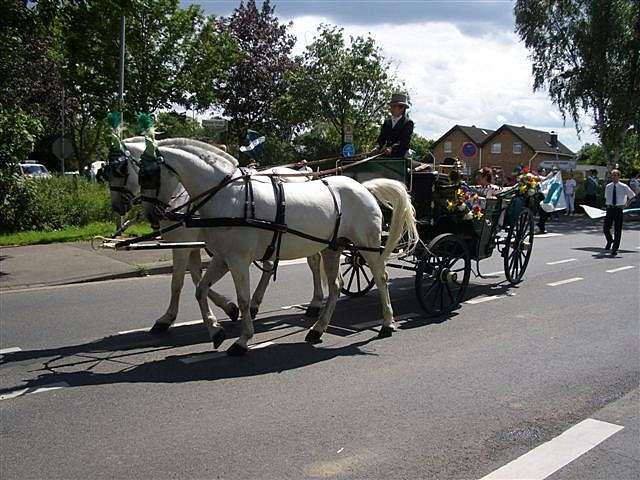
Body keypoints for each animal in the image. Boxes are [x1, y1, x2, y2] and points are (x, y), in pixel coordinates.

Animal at [142, 144, 418, 354]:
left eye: (148, 174)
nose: (154, 216)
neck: (229, 195)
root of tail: (364, 187)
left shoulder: (236, 259)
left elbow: (241, 298)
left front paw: (242, 340)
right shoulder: (221, 257)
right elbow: (200, 289)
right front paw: (216, 331)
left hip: (368, 246)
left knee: (381, 278)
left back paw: (387, 324)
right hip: (333, 247)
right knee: (336, 286)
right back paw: (317, 329)